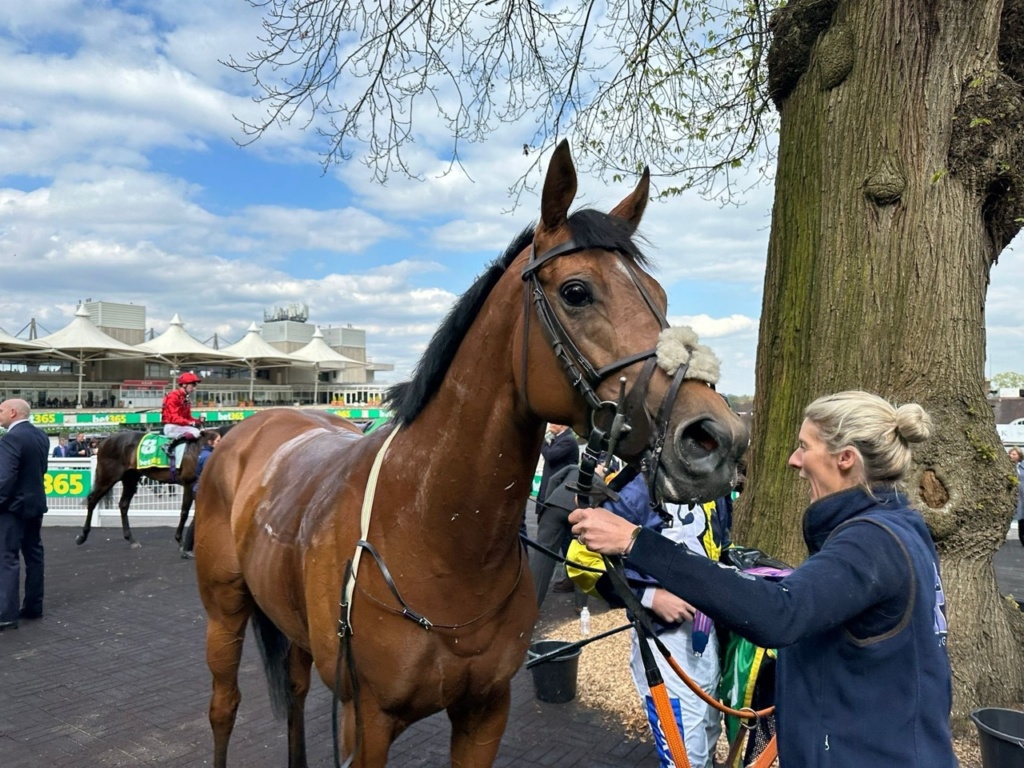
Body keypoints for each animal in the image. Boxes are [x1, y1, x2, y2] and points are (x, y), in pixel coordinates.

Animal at [74, 428, 232, 548]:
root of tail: (104, 441)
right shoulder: (190, 483)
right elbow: (185, 512)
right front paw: (180, 541)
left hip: (130, 477)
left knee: (123, 504)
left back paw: (131, 539)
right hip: (108, 476)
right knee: (92, 499)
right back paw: (82, 536)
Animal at [193, 140, 753, 768]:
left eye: (659, 297)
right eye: (576, 291)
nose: (716, 438)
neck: (436, 538)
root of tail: (251, 427)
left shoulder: (486, 711)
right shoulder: (367, 723)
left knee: (292, 693)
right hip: (224, 611)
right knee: (224, 707)